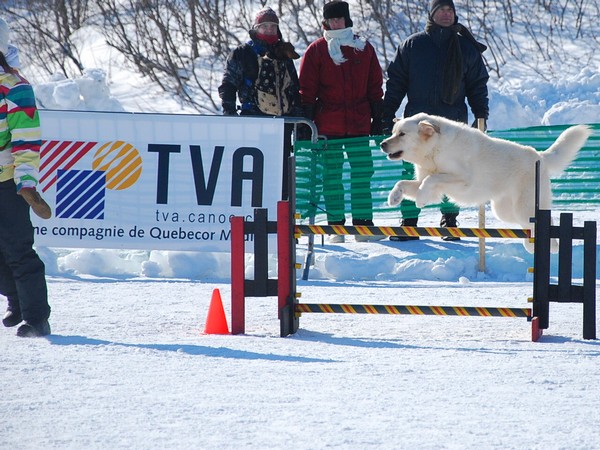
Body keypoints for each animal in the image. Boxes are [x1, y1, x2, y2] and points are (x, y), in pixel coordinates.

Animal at [380, 112, 592, 251]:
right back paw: (531, 245)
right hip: (505, 211)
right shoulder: (429, 183)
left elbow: (432, 179)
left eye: (402, 134)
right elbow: (404, 184)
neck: (434, 149)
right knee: (529, 226)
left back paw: (552, 246)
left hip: (524, 207)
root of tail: (540, 156)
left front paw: (420, 199)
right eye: (393, 132)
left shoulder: (462, 179)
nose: (382, 144)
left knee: (543, 221)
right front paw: (394, 198)